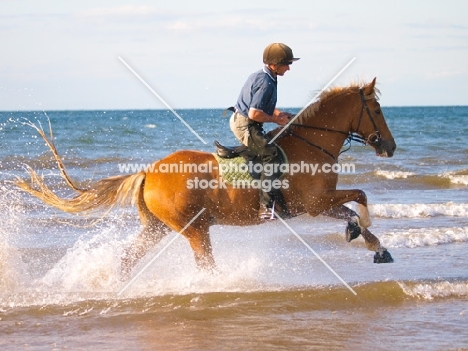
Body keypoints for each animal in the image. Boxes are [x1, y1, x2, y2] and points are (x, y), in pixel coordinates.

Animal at [15, 77, 394, 280]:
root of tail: (148, 171)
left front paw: (372, 244)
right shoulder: (314, 203)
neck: (311, 144)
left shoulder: (318, 206)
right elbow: (360, 196)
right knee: (204, 265)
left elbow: (351, 208)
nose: (389, 146)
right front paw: (364, 233)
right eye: (376, 110)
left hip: (157, 228)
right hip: (194, 229)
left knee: (128, 257)